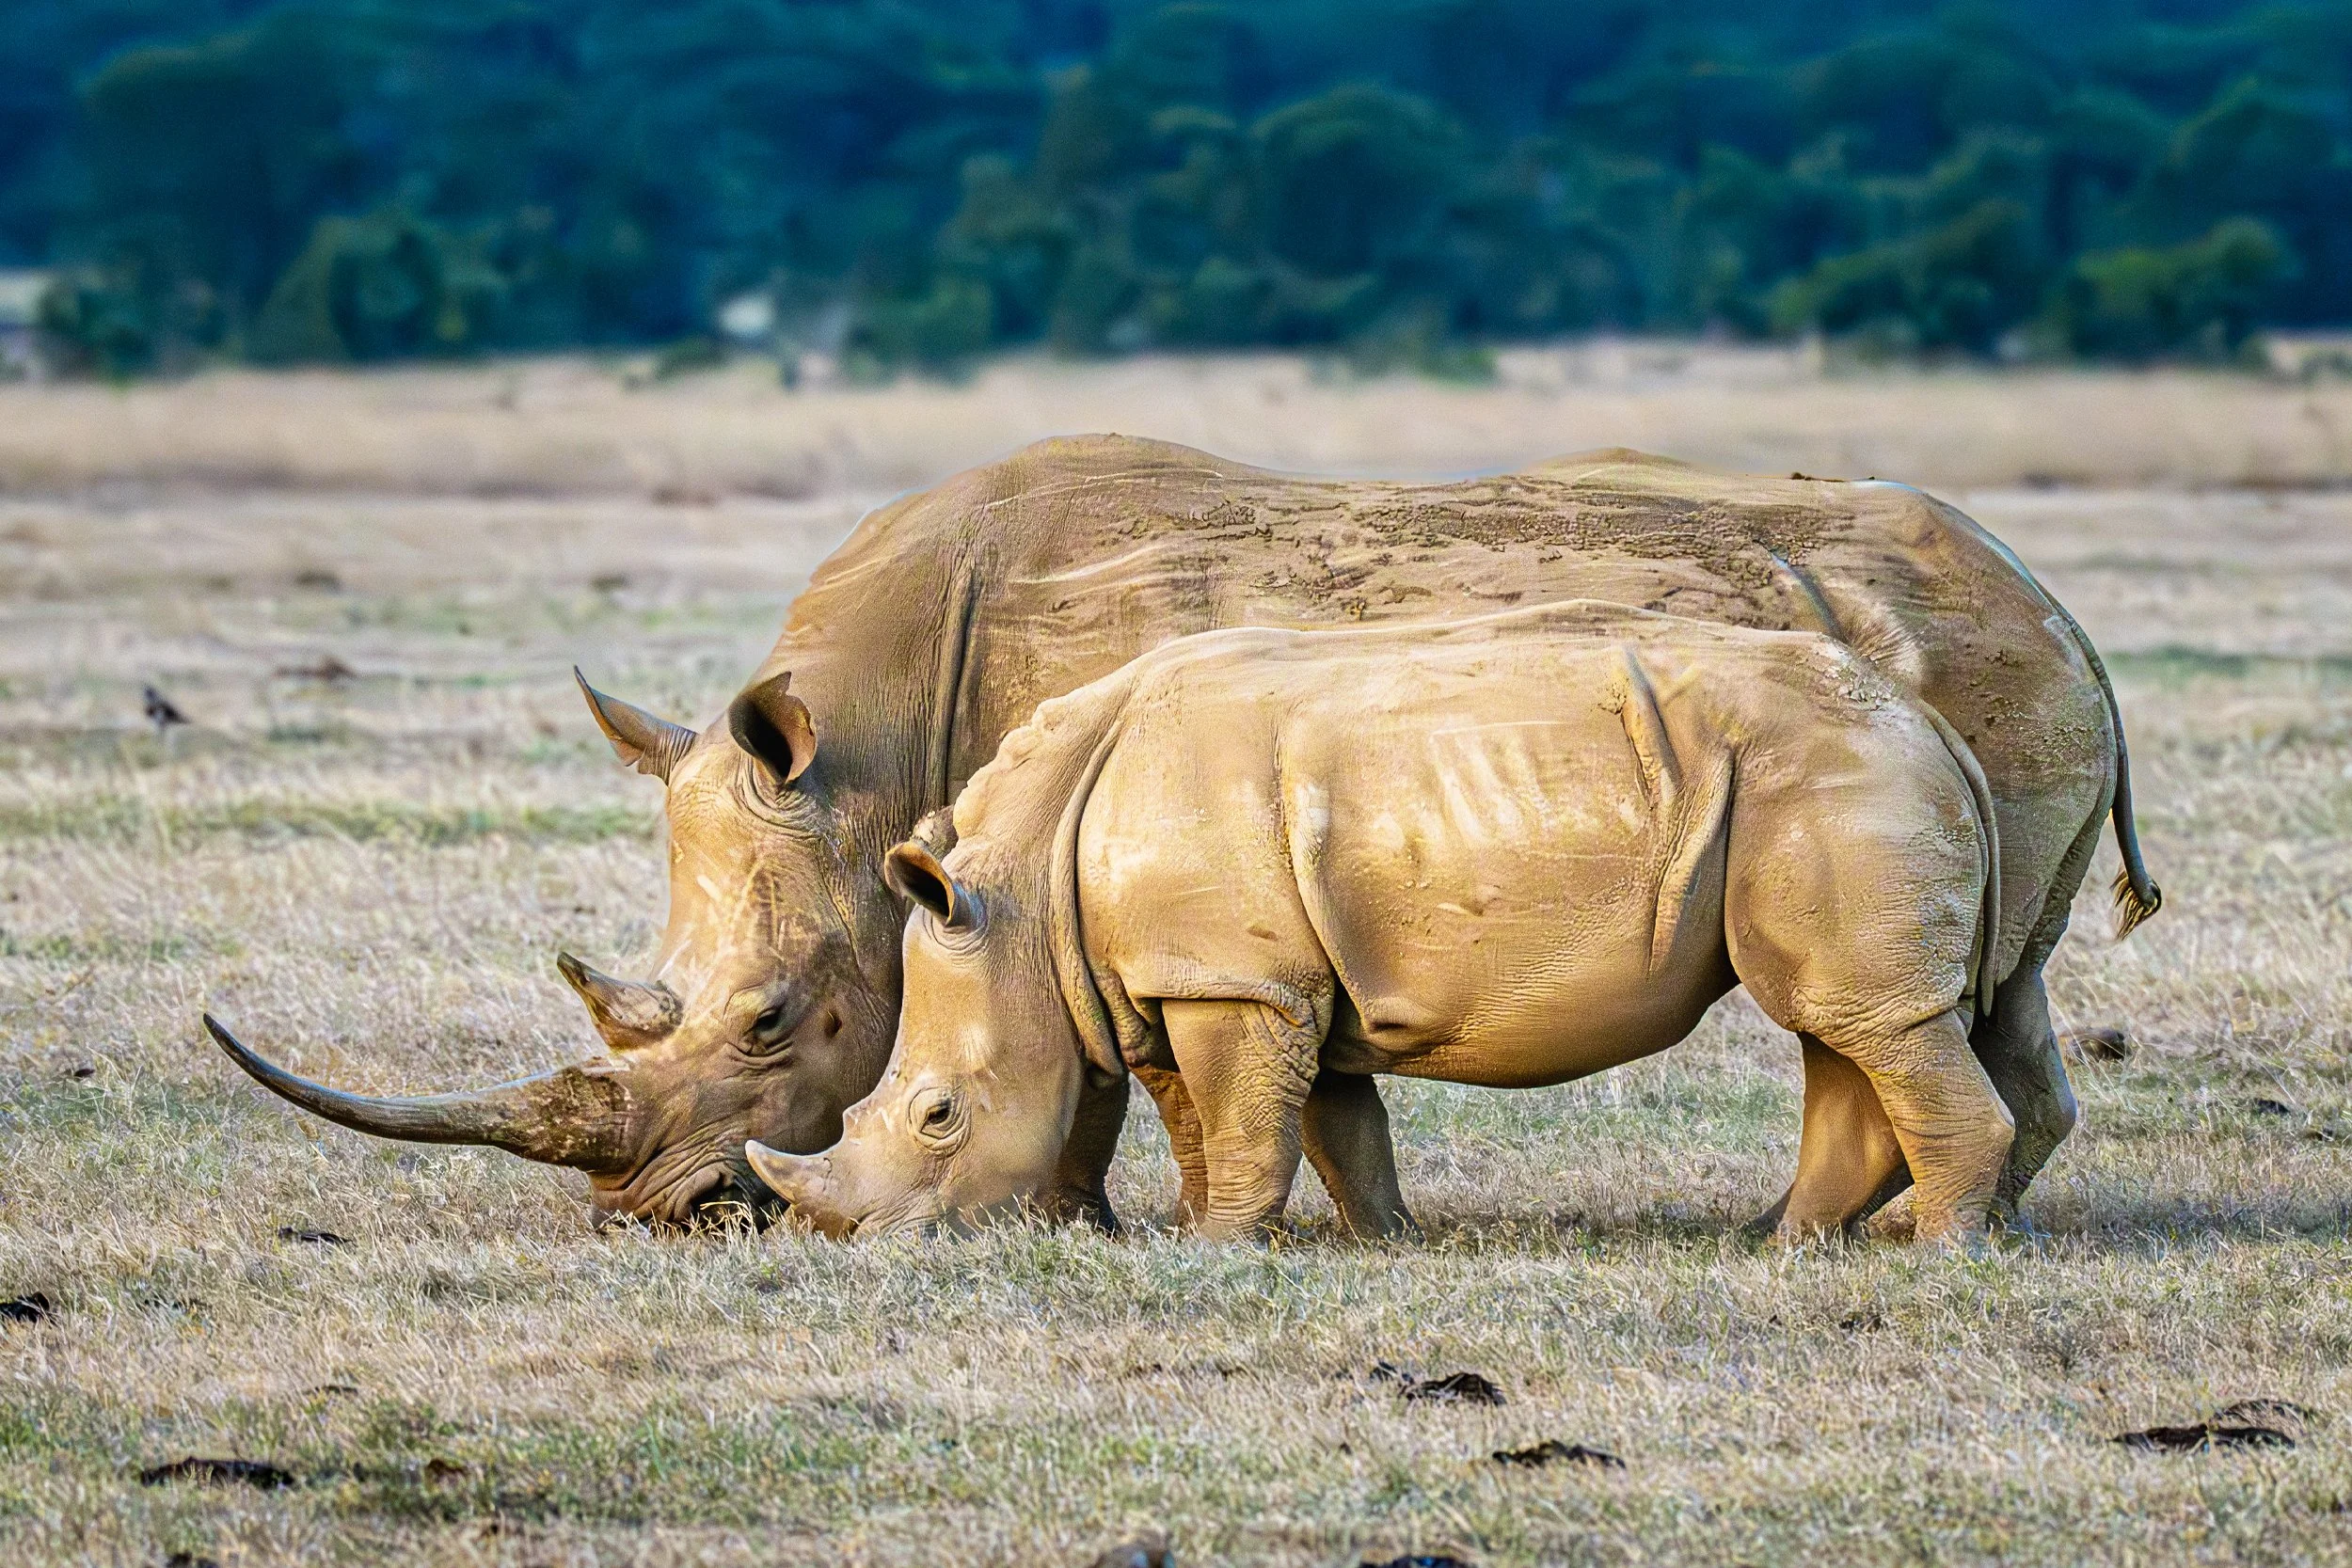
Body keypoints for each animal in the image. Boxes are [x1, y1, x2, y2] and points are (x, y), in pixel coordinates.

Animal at [745, 604, 2013, 1242]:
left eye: (937, 1115)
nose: (855, 1240)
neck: (1016, 892)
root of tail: (1933, 724)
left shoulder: (1227, 978)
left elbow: (1245, 1121)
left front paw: (1217, 1249)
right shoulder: (1196, 974)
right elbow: (1304, 1119)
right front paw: (1369, 1238)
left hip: (1835, 780)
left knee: (1864, 1020)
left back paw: (1937, 1254)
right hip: (1813, 779)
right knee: (1841, 1023)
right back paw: (1781, 1243)